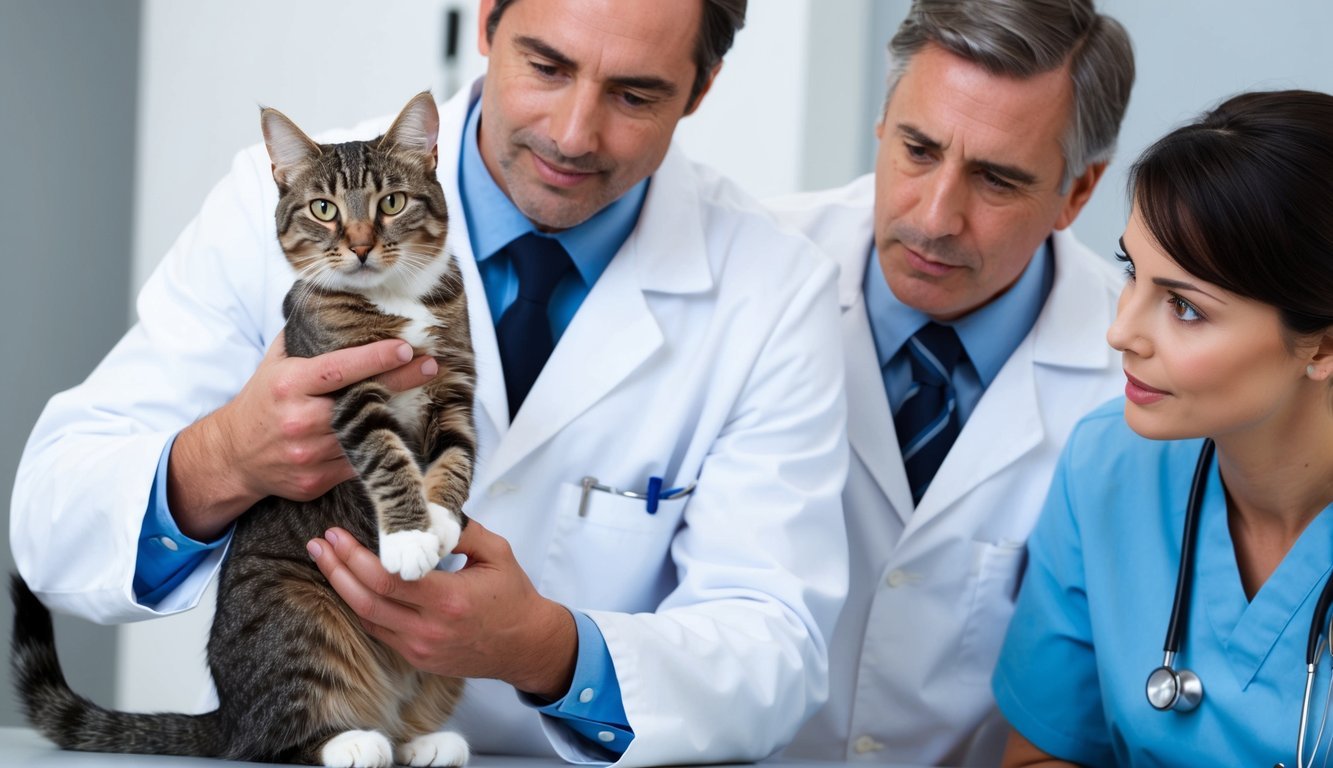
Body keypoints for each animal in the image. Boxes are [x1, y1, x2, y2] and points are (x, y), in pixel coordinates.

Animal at [10, 93, 477, 762]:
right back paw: (351, 742)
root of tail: (226, 712)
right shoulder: (342, 384)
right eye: (324, 209)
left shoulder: (456, 383)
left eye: (391, 202)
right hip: (295, 613)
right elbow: (386, 451)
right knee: (271, 736)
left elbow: (458, 454)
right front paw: (411, 537)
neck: (395, 299)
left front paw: (438, 519)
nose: (361, 246)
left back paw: (424, 742)